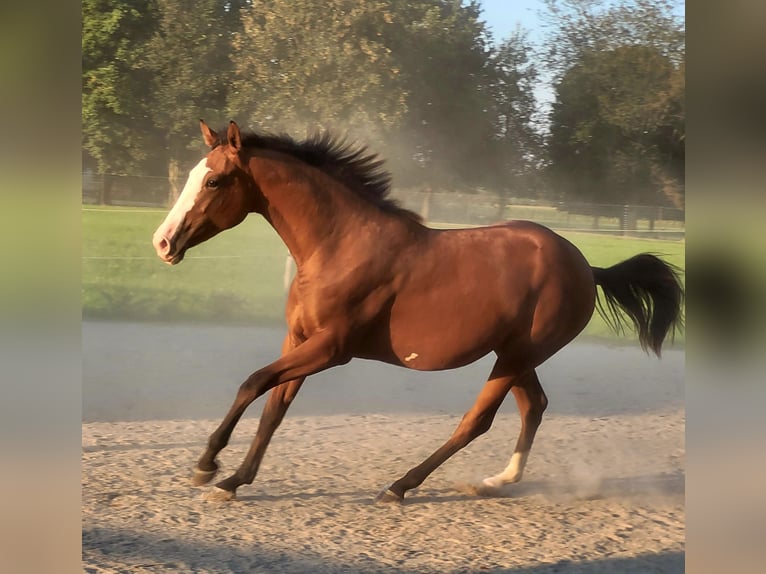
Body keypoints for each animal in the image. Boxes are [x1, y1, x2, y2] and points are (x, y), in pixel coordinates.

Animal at [150, 121, 684, 504]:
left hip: (517, 355)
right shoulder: (298, 341)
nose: (162, 243)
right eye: (196, 174)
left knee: (477, 421)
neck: (340, 246)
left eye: (214, 180)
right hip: (516, 355)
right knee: (534, 406)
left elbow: (253, 383)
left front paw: (207, 465)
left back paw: (400, 486)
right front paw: (234, 480)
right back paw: (494, 482)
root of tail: (586, 266)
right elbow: (273, 411)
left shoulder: (330, 349)